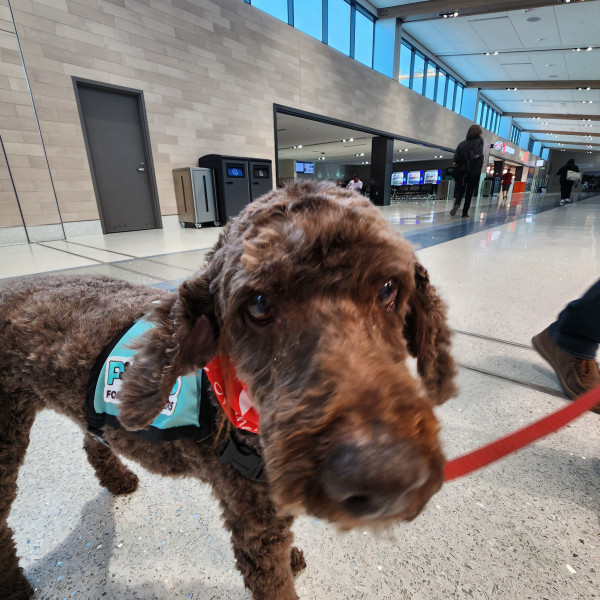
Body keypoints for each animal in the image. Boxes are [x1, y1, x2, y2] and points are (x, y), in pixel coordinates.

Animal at [0, 181, 457, 600]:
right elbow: (275, 581)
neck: (235, 405)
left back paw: (117, 479)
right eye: (258, 304)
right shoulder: (255, 525)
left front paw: (294, 557)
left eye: (388, 288)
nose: (383, 476)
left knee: (92, 438)